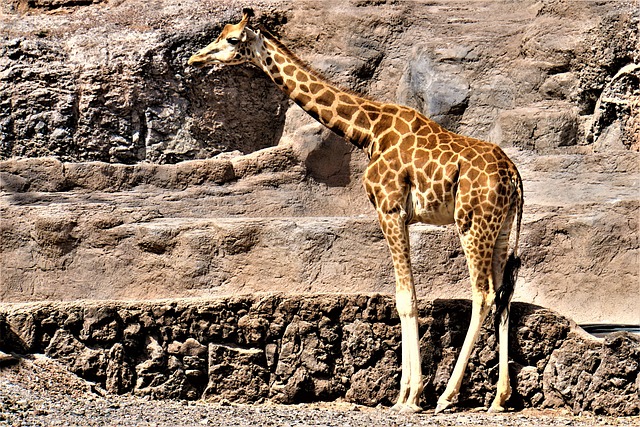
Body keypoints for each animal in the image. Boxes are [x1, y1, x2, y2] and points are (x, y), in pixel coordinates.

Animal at [188, 9, 523, 414]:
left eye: (232, 40)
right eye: (220, 34)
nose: (195, 59)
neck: (366, 132)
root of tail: (514, 177)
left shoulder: (390, 209)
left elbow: (406, 299)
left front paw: (410, 397)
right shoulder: (400, 215)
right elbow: (404, 297)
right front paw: (404, 393)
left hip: (472, 223)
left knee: (483, 294)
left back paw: (447, 396)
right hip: (501, 227)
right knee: (503, 295)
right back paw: (499, 398)